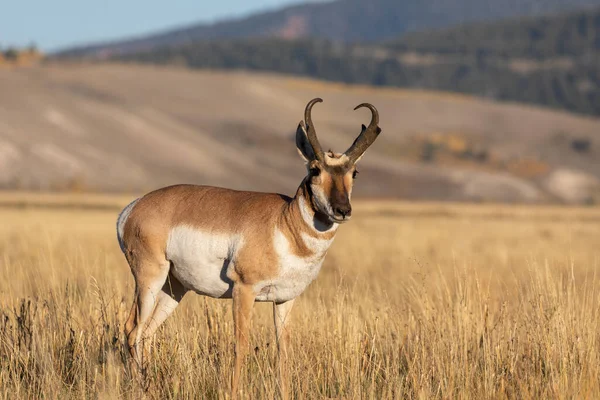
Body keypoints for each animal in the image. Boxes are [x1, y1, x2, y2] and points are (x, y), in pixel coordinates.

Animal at [116, 97, 380, 396]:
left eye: (354, 172)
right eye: (315, 169)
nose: (342, 210)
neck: (284, 223)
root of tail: (134, 207)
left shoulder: (285, 299)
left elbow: (283, 351)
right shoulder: (244, 290)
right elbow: (240, 346)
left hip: (174, 287)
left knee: (147, 333)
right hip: (150, 278)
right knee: (132, 330)